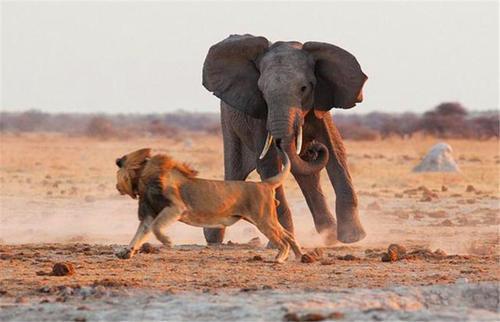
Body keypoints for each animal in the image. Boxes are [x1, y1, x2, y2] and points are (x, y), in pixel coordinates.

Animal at [114, 147, 300, 262]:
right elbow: (140, 233)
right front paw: (126, 252)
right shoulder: (150, 212)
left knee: (282, 239)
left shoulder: (176, 207)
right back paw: (300, 256)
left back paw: (280, 258)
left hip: (263, 220)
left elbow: (155, 227)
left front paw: (167, 241)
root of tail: (264, 183)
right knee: (288, 234)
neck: (142, 178)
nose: (116, 186)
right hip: (265, 219)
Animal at [200, 35, 368, 245]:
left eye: (304, 88)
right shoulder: (260, 115)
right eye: (262, 91)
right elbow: (269, 164)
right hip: (228, 123)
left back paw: (328, 236)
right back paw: (212, 237)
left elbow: (336, 151)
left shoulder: (321, 104)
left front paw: (353, 238)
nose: (315, 149)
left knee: (308, 175)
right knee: (235, 170)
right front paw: (281, 242)